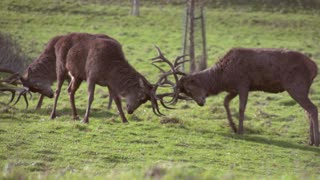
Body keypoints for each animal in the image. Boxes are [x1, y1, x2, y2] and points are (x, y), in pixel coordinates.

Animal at [157, 47, 318, 146]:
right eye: (185, 92)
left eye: (190, 88)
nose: (201, 103)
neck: (223, 78)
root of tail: (315, 68)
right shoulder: (233, 89)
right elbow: (225, 102)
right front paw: (233, 128)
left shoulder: (243, 83)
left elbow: (241, 108)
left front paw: (241, 131)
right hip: (302, 88)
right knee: (307, 111)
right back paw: (310, 141)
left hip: (295, 85)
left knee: (313, 108)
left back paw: (316, 141)